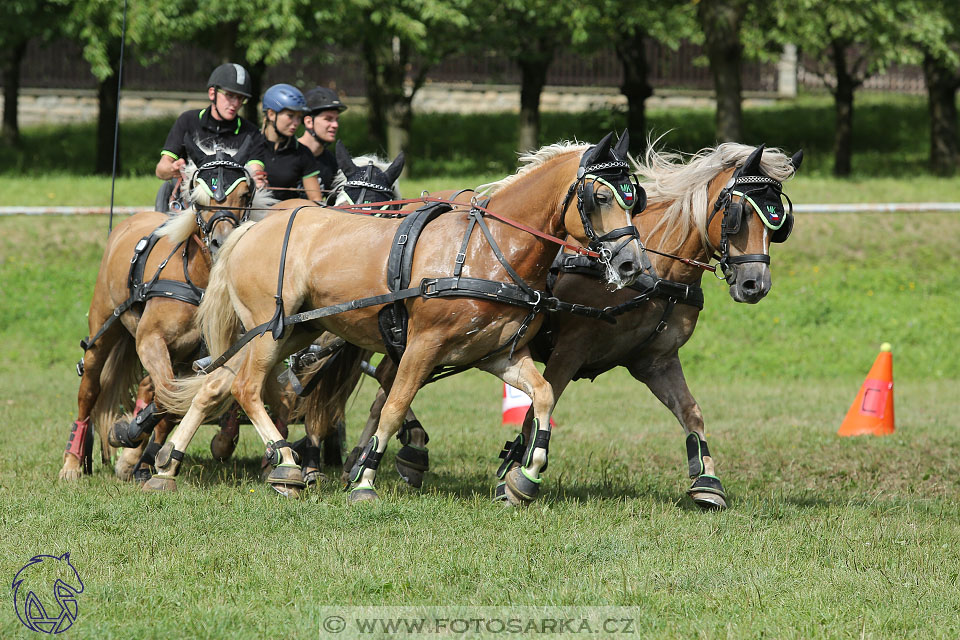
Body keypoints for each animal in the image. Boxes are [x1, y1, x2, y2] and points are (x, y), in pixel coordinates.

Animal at [57, 140, 270, 480]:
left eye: (243, 195)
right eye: (199, 199)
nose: (222, 242)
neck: (198, 280)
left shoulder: (199, 359)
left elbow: (170, 402)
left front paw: (135, 451)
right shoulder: (150, 340)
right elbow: (168, 392)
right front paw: (127, 436)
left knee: (148, 387)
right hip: (104, 328)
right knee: (89, 389)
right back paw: (72, 463)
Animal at [150, 131, 644, 500]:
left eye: (634, 197)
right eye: (600, 196)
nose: (631, 264)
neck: (487, 250)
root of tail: (251, 228)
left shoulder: (499, 355)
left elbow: (543, 396)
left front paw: (526, 476)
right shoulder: (422, 346)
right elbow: (393, 407)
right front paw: (364, 480)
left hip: (293, 331)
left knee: (217, 384)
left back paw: (166, 466)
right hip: (269, 330)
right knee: (246, 388)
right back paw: (285, 464)